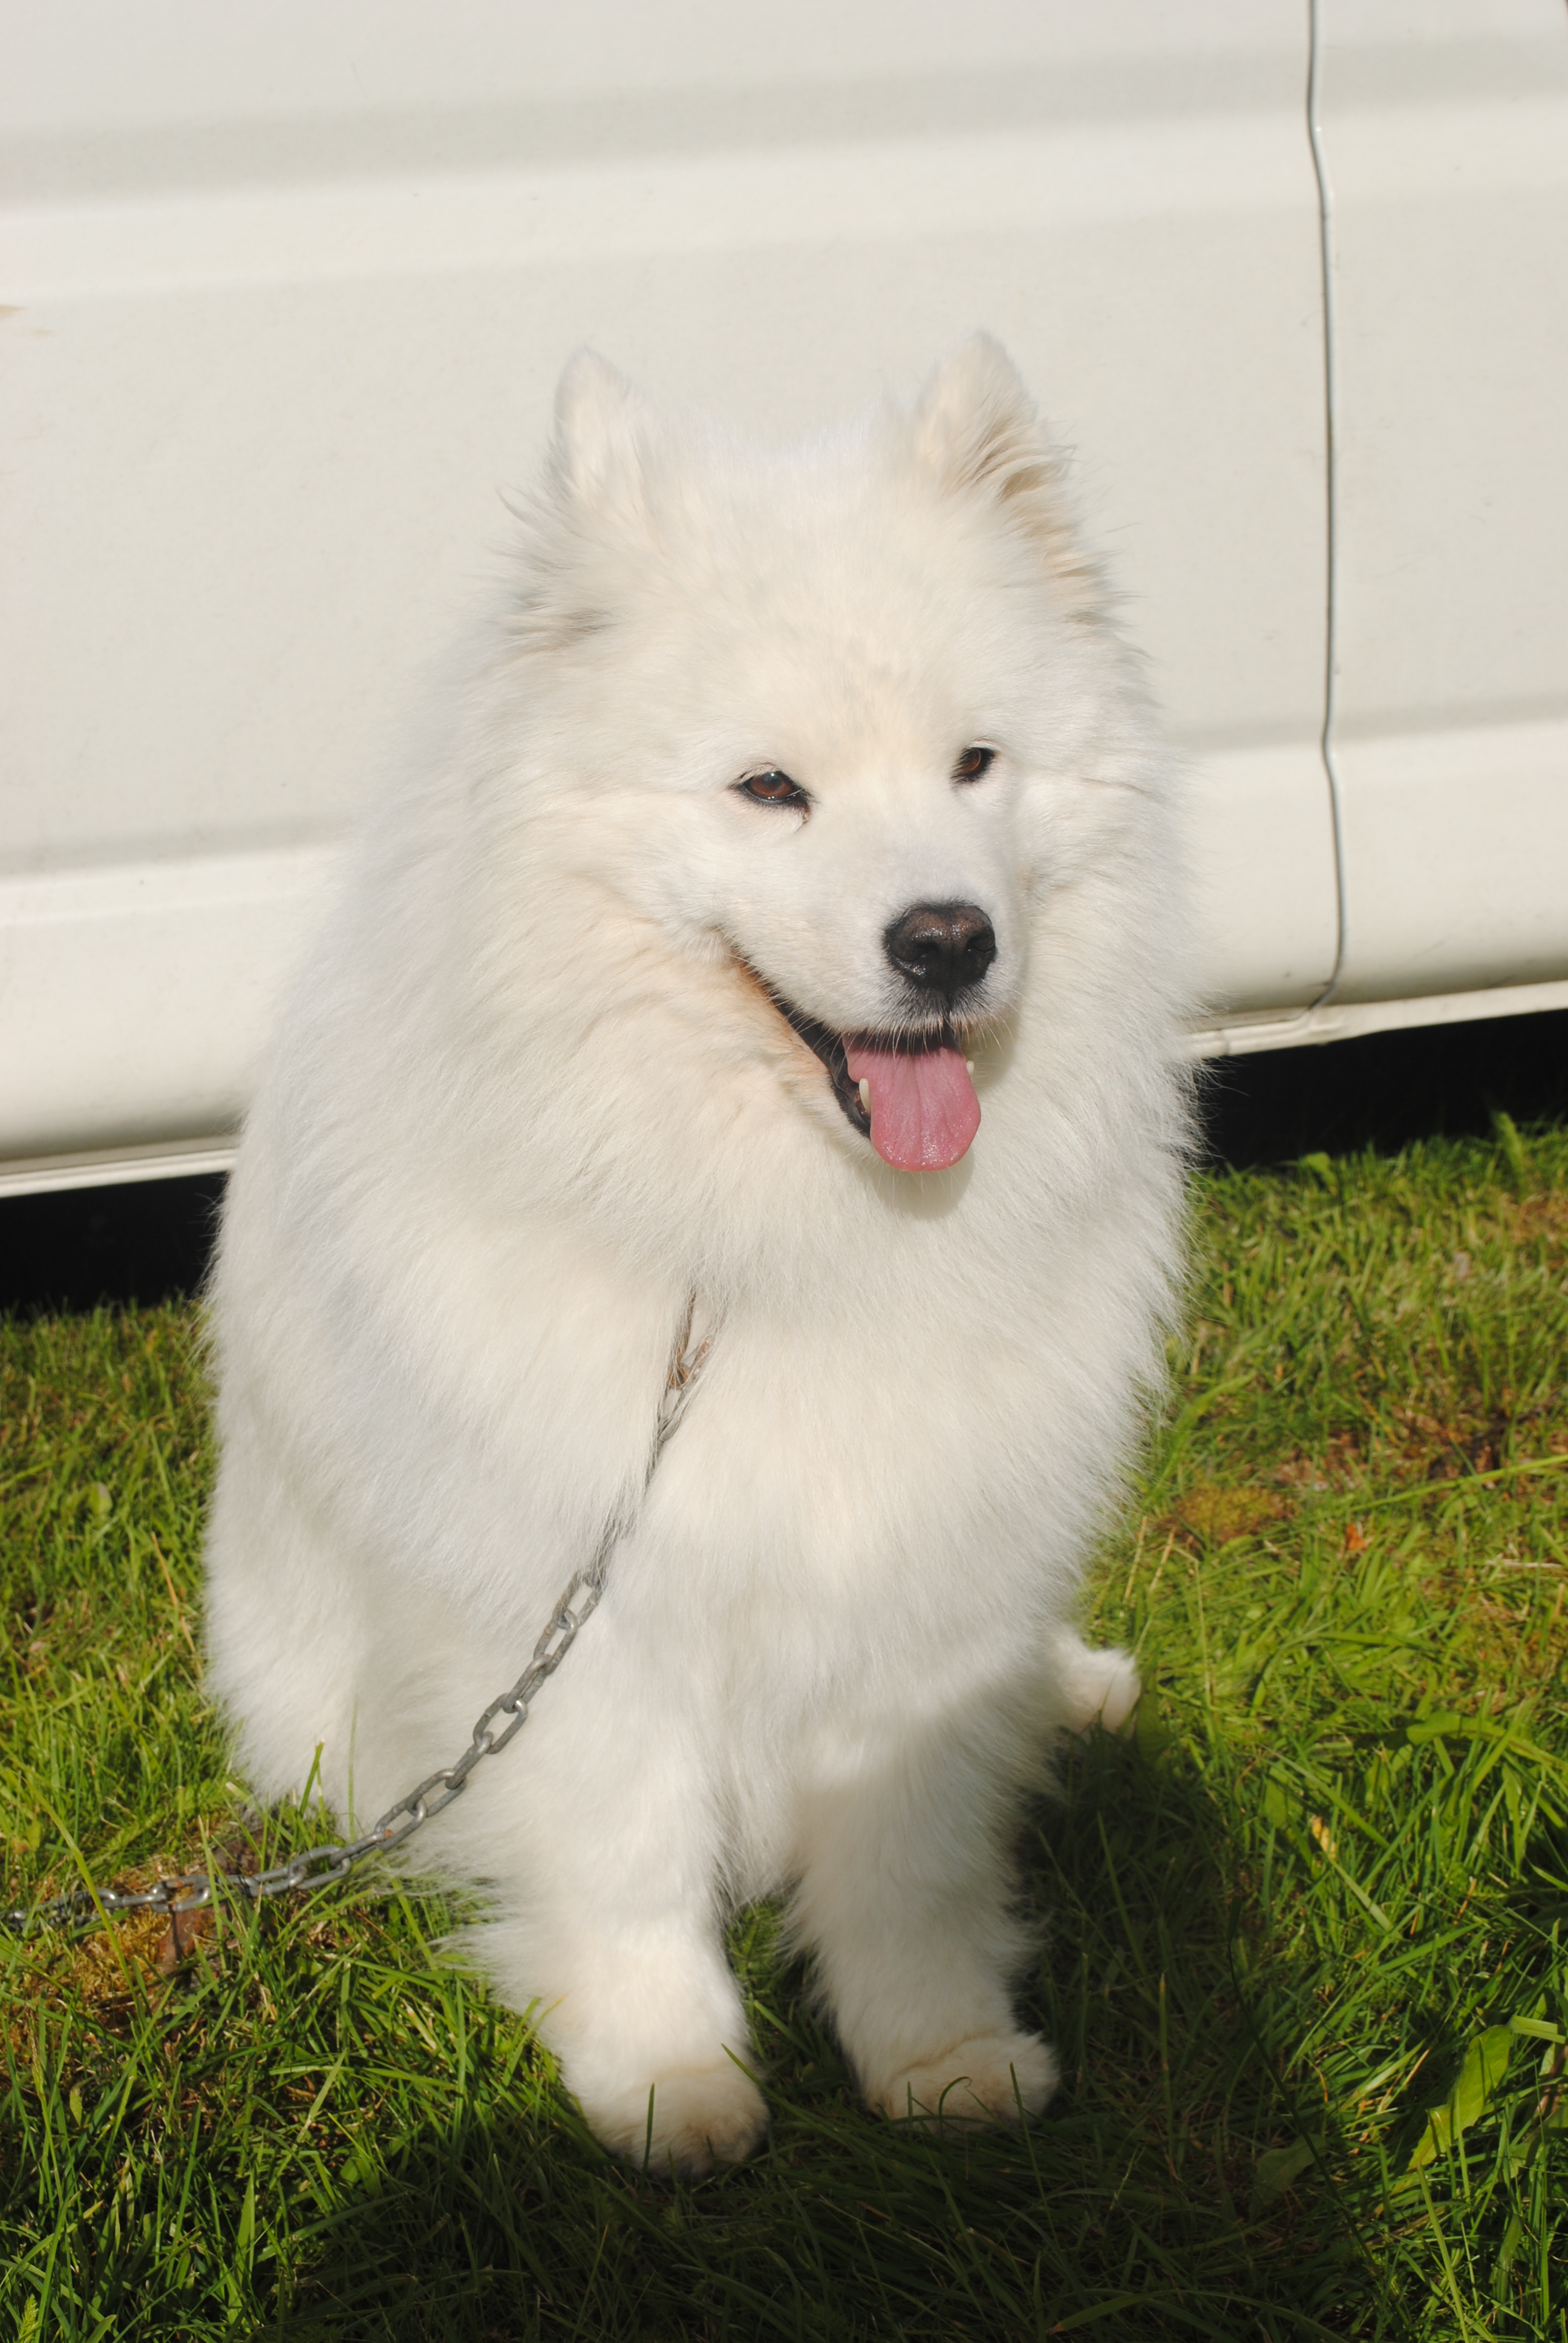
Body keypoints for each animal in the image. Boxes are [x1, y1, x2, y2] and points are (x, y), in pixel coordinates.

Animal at [204, 335, 1190, 2175]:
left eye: (976, 765)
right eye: (770, 789)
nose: (947, 939)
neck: (777, 1244)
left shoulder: (924, 1596)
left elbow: (911, 1862)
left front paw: (939, 2057)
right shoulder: (573, 1606)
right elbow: (627, 1862)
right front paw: (667, 2082)